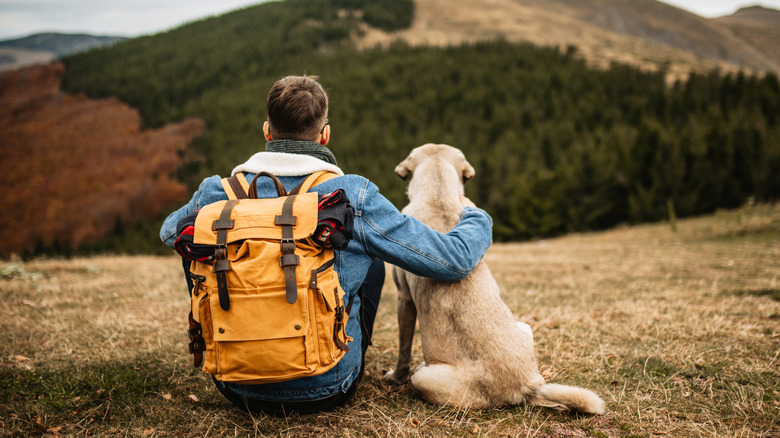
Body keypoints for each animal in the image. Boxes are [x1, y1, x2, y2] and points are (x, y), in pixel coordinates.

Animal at [380, 145, 608, 414]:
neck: (438, 195)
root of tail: (527, 386)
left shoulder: (404, 298)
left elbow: (403, 348)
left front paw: (395, 376)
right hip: (524, 326)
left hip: (424, 378)